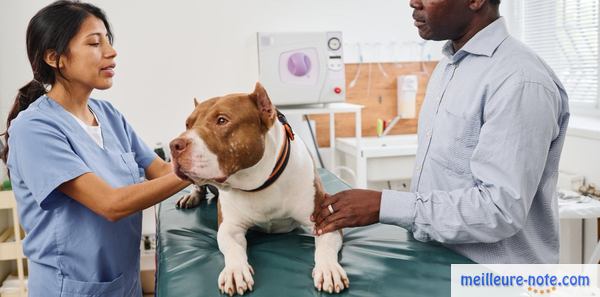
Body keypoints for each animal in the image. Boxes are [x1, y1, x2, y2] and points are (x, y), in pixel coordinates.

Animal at [170, 82, 346, 294]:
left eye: (222, 120)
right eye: (188, 124)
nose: (175, 144)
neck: (259, 182)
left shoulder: (326, 221)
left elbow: (326, 248)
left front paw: (329, 268)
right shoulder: (229, 228)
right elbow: (233, 249)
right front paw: (235, 271)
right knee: (198, 185)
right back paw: (192, 196)